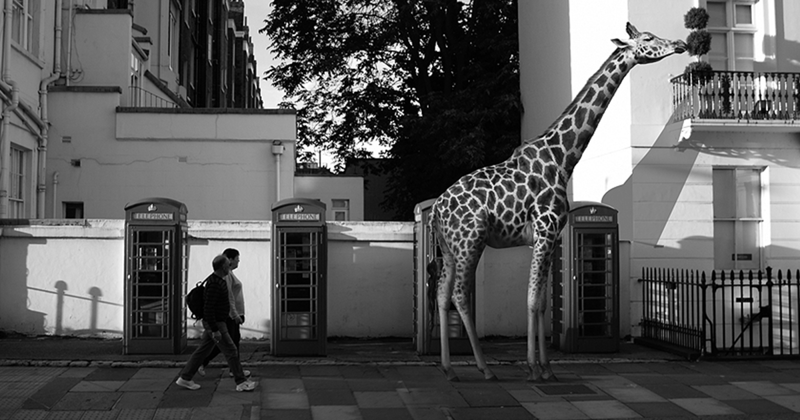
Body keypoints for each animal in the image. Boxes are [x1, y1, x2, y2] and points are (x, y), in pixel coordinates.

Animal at [432, 23, 688, 384]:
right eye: (648, 39)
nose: (680, 44)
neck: (563, 158)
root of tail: (436, 208)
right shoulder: (545, 230)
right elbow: (530, 300)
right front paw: (532, 368)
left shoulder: (549, 239)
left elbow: (541, 302)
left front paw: (547, 368)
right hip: (471, 241)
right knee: (458, 295)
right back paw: (484, 368)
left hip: (449, 247)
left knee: (441, 294)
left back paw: (448, 368)